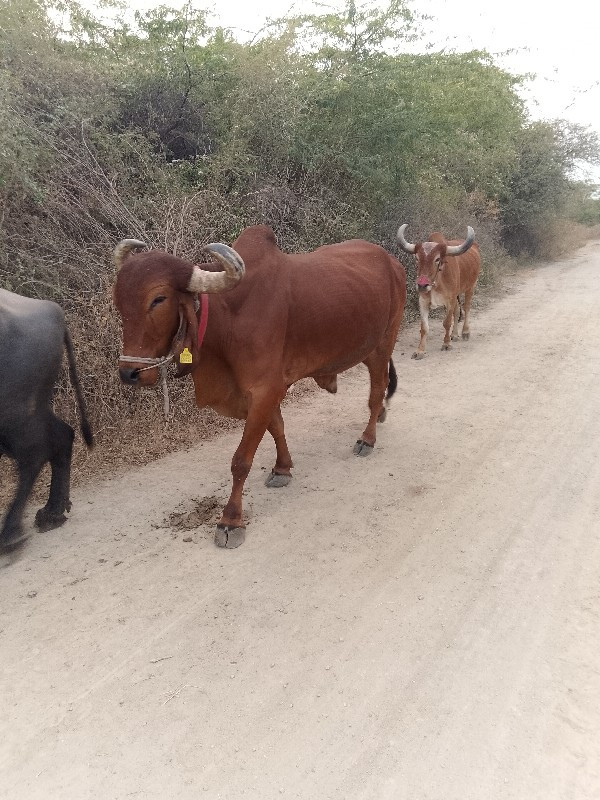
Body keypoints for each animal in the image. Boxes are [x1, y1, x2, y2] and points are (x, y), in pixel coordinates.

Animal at [0, 290, 92, 552]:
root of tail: (52, 309)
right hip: (33, 409)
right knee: (62, 436)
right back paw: (53, 512)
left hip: (16, 413)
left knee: (33, 456)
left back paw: (12, 533)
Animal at [112, 227, 408, 552]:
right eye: (118, 300)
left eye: (158, 299)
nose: (129, 373)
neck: (230, 317)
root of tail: (392, 261)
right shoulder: (263, 393)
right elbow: (277, 427)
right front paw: (282, 469)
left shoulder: (264, 390)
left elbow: (241, 461)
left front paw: (230, 521)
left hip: (383, 343)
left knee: (376, 392)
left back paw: (367, 438)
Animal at [396, 222, 480, 360]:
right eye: (417, 258)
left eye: (437, 259)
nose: (422, 285)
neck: (437, 282)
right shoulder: (423, 301)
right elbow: (424, 327)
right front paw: (420, 351)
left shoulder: (450, 300)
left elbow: (447, 322)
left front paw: (446, 344)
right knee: (457, 311)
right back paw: (454, 335)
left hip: (470, 287)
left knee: (466, 308)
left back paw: (465, 332)